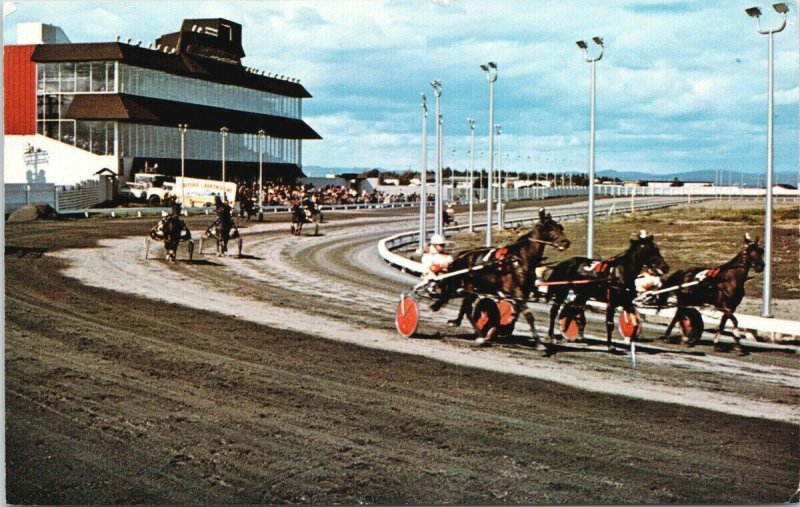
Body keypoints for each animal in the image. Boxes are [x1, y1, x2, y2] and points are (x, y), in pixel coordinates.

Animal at [432, 208, 568, 348]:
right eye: (548, 228)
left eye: (560, 227)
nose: (565, 242)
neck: (519, 260)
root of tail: (464, 255)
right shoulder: (517, 293)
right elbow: (529, 316)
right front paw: (539, 343)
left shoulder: (522, 295)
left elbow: (515, 315)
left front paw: (501, 329)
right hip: (470, 287)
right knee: (468, 310)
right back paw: (479, 336)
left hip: (476, 288)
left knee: (465, 306)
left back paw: (458, 322)